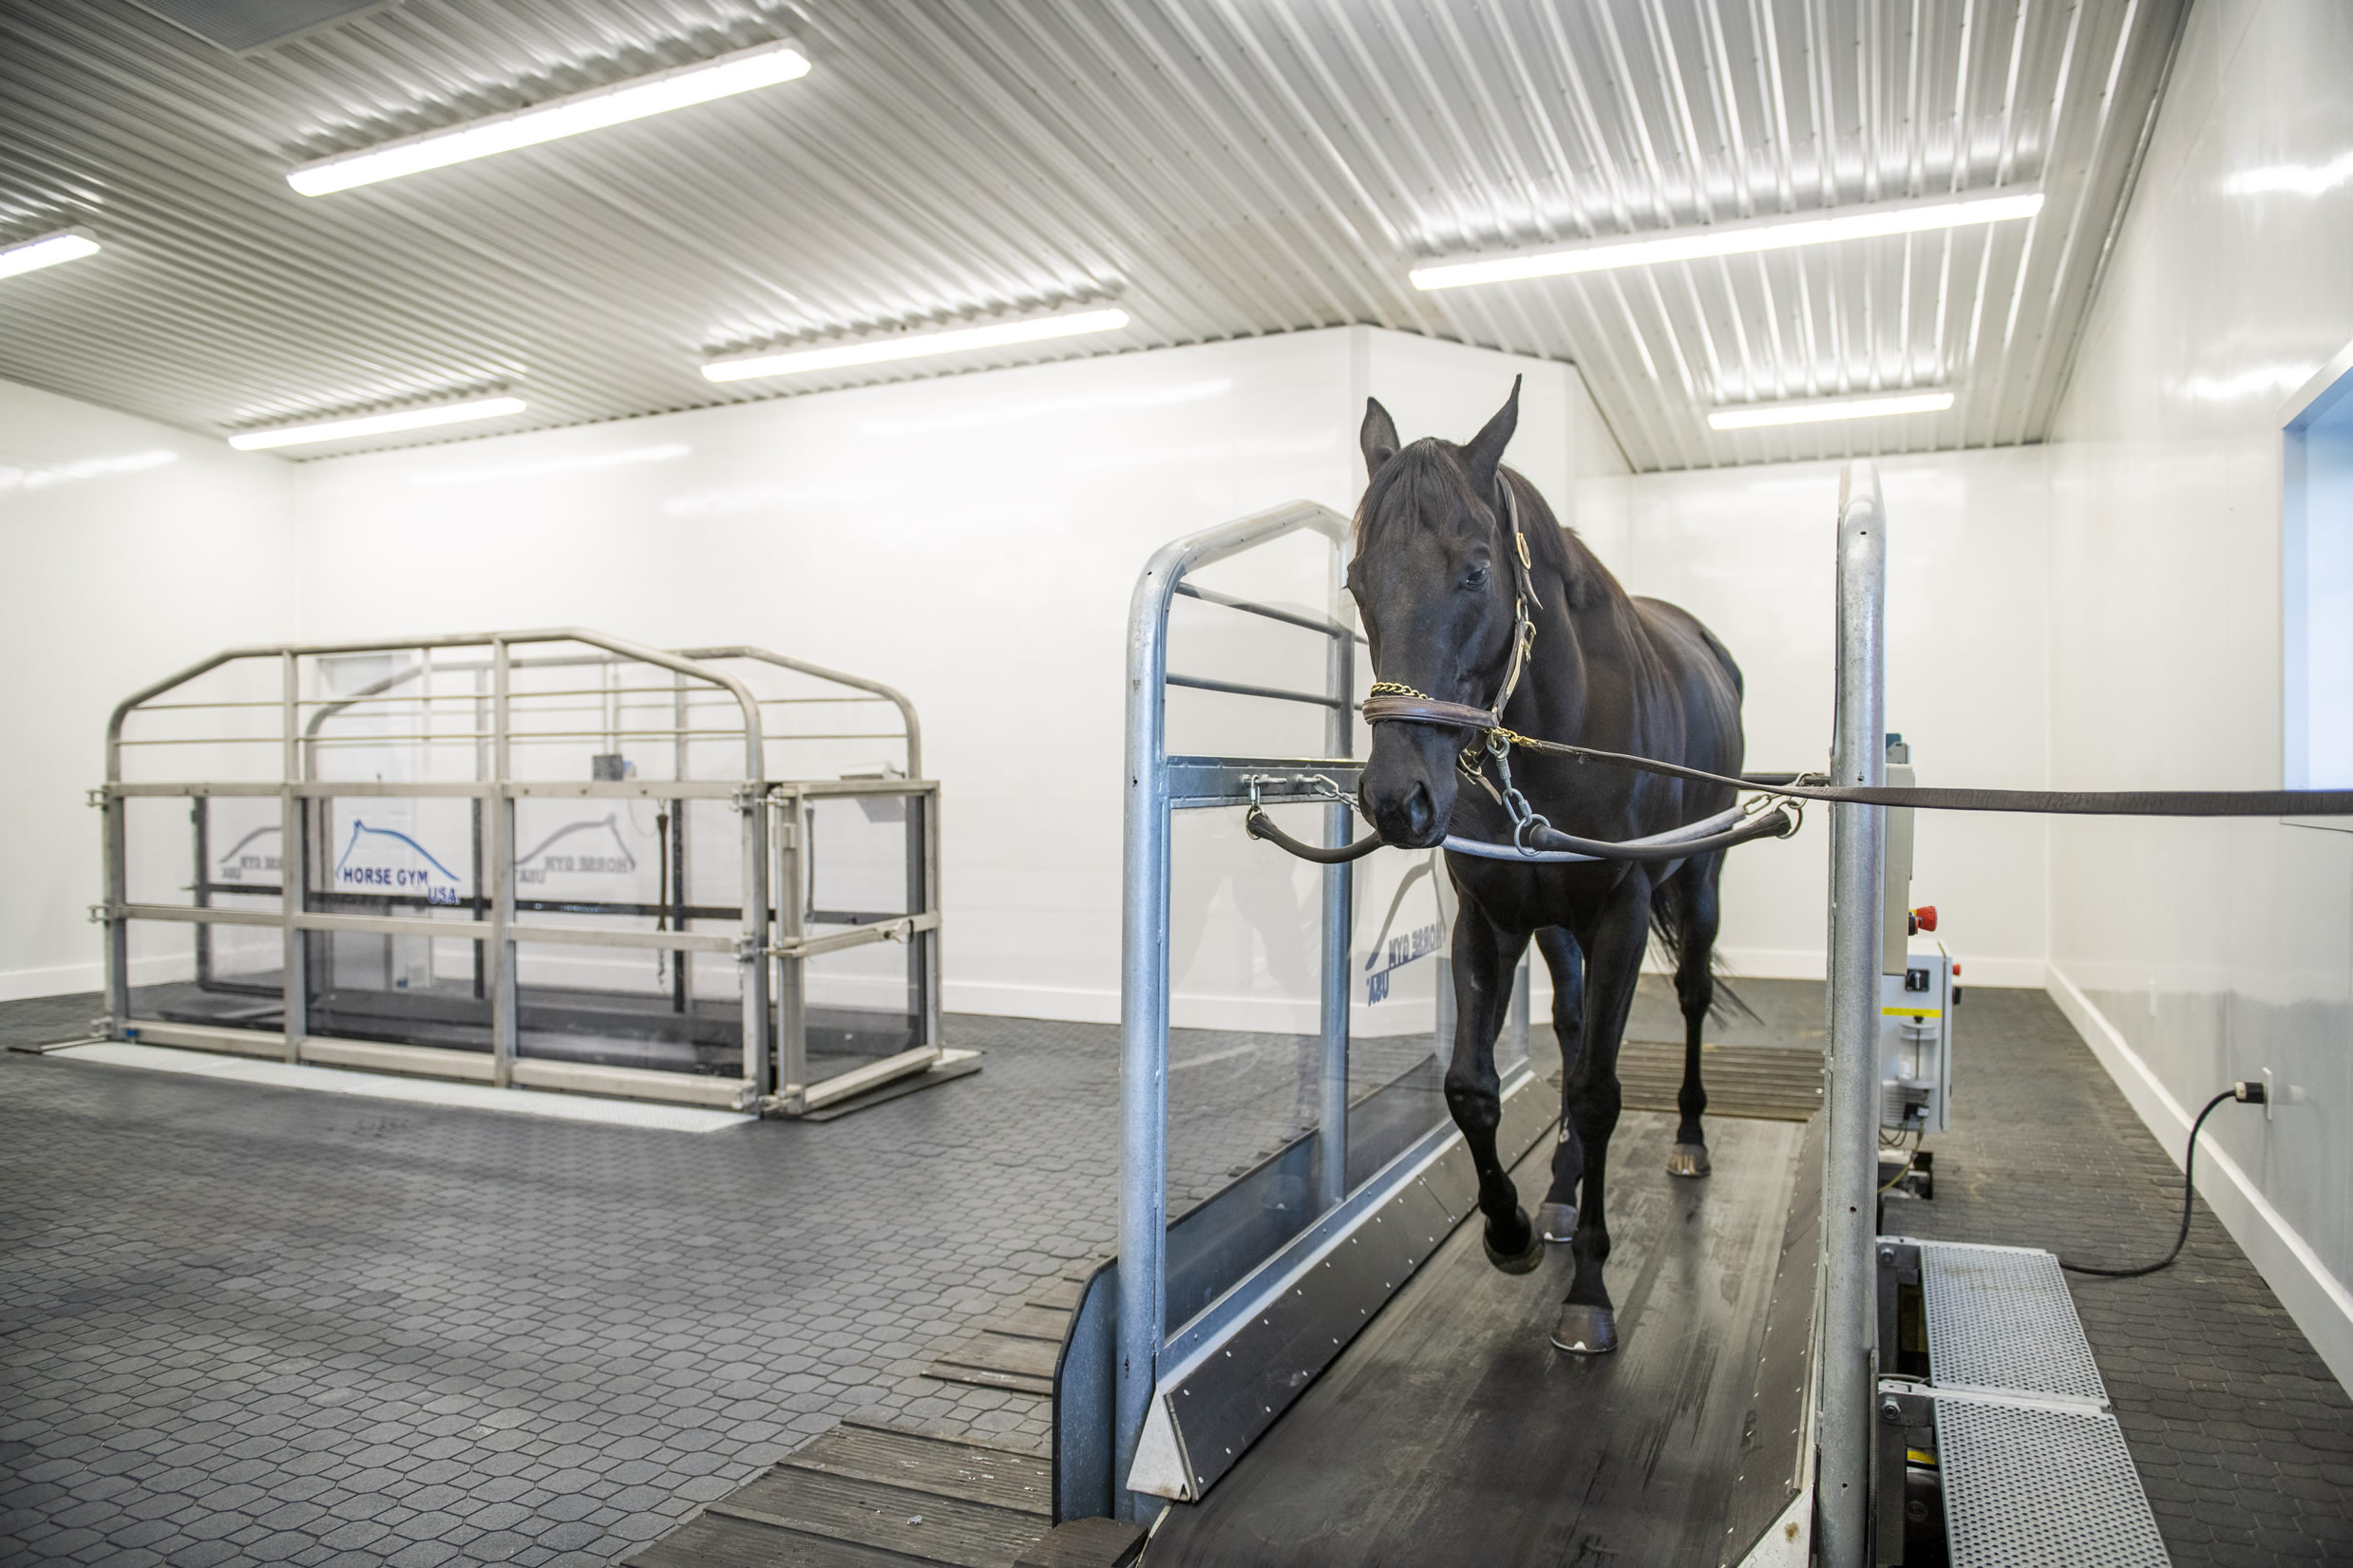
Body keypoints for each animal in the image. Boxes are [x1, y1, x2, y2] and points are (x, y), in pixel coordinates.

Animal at [1345, 383, 1750, 1363]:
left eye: (1474, 571)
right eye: (1355, 580)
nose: (1396, 799)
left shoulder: (1621, 911)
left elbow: (1599, 1090)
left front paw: (1590, 1291)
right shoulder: (1489, 919)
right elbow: (1471, 1087)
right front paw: (1511, 1228)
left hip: (1698, 879)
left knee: (1687, 996)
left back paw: (1687, 1136)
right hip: (1558, 924)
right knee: (1568, 1029)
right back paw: (1563, 1192)